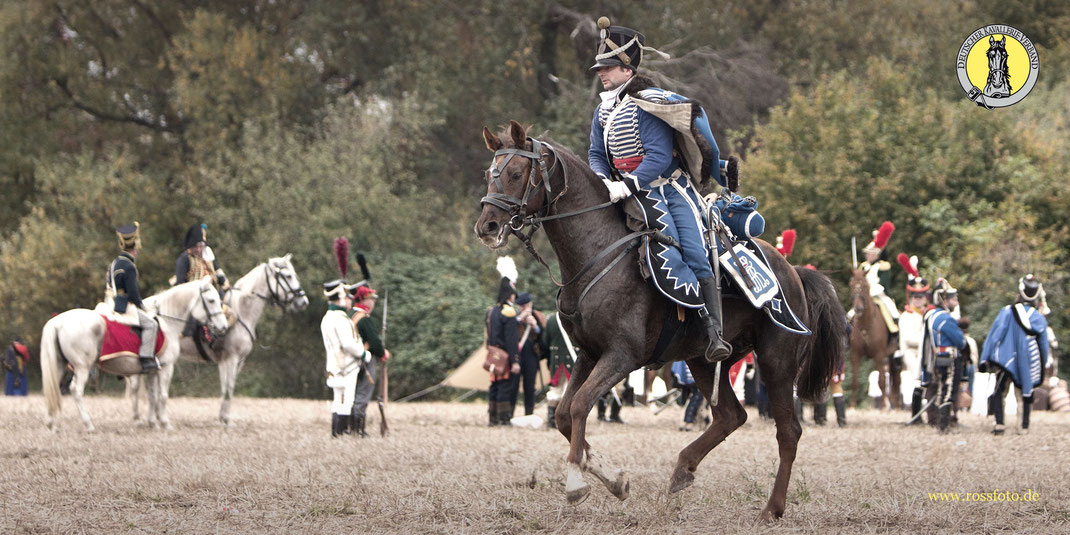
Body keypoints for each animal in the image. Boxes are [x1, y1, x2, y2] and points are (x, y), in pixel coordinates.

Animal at [41, 278, 227, 432]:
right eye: (211, 300)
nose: (223, 327)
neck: (167, 323)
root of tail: (57, 322)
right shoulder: (167, 368)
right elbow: (163, 396)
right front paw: (165, 424)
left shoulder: (153, 370)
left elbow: (152, 396)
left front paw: (153, 423)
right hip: (82, 367)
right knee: (76, 390)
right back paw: (88, 425)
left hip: (60, 365)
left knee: (54, 389)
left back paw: (52, 424)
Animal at [127, 254, 310, 425]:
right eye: (288, 276)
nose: (303, 301)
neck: (242, 312)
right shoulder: (229, 359)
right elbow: (228, 388)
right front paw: (226, 419)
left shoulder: (237, 361)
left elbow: (228, 388)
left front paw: (223, 417)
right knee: (135, 387)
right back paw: (137, 418)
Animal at [475, 122, 843, 522]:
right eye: (488, 174)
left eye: (515, 174)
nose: (487, 226)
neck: (599, 253)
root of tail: (794, 272)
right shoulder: (588, 354)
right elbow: (563, 415)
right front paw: (614, 479)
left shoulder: (622, 356)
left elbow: (579, 406)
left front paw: (576, 482)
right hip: (702, 361)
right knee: (731, 415)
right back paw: (683, 469)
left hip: (777, 362)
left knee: (787, 432)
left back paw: (771, 509)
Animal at [847, 269, 898, 406]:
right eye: (852, 285)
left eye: (865, 286)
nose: (858, 309)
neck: (865, 324)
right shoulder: (855, 354)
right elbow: (854, 382)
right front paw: (852, 406)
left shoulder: (879, 355)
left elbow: (882, 381)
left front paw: (885, 406)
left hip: (893, 355)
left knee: (895, 378)